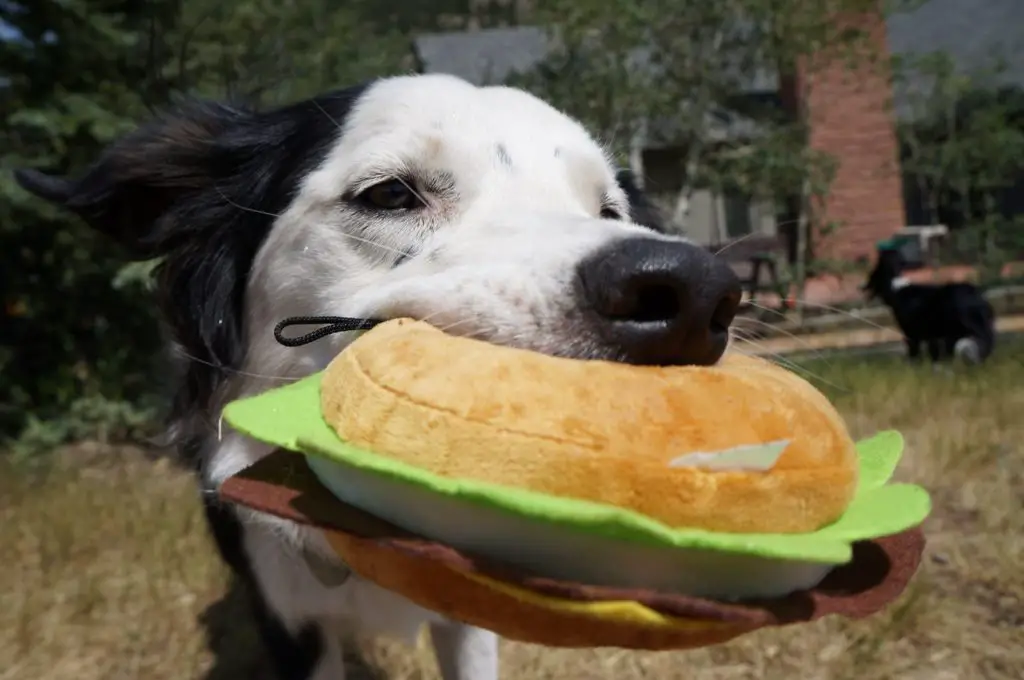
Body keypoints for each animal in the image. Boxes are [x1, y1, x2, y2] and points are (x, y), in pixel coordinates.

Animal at [860, 248, 995, 366]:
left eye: (873, 273)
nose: (860, 287)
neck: (896, 289)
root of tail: (976, 294)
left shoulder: (912, 335)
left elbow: (915, 357)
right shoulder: (932, 337)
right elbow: (934, 355)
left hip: (963, 328)